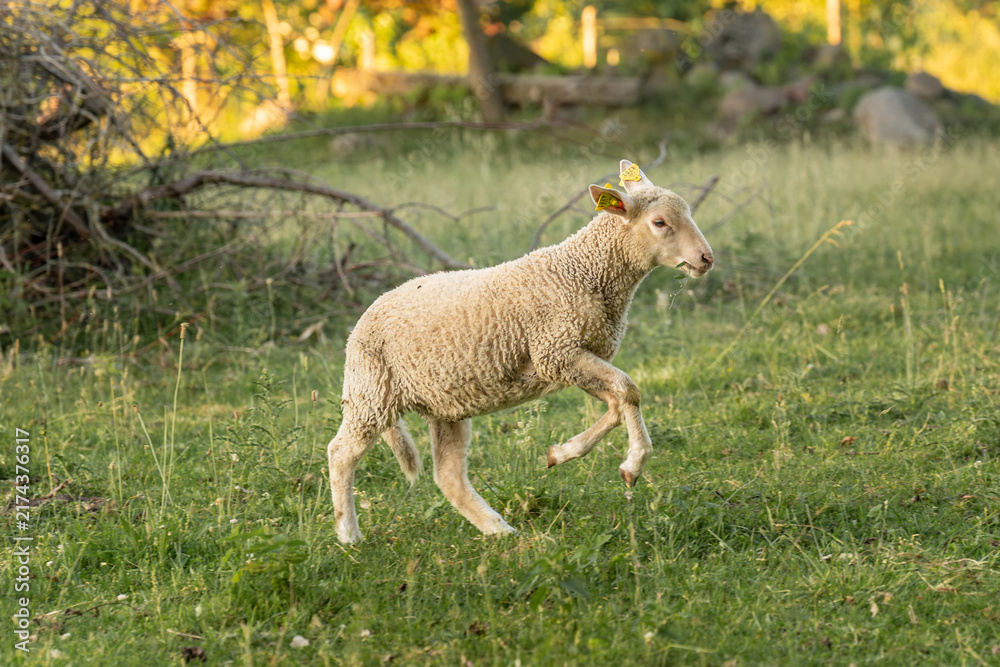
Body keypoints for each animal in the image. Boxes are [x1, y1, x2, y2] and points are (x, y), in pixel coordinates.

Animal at [327, 160, 714, 543]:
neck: (584, 272)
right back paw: (349, 535)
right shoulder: (557, 350)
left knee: (448, 475)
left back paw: (499, 529)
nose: (707, 258)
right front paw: (633, 465)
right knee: (341, 453)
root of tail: (365, 316)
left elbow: (619, 403)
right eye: (659, 222)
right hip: (371, 393)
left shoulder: (570, 359)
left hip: (444, 405)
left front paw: (562, 453)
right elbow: (628, 390)